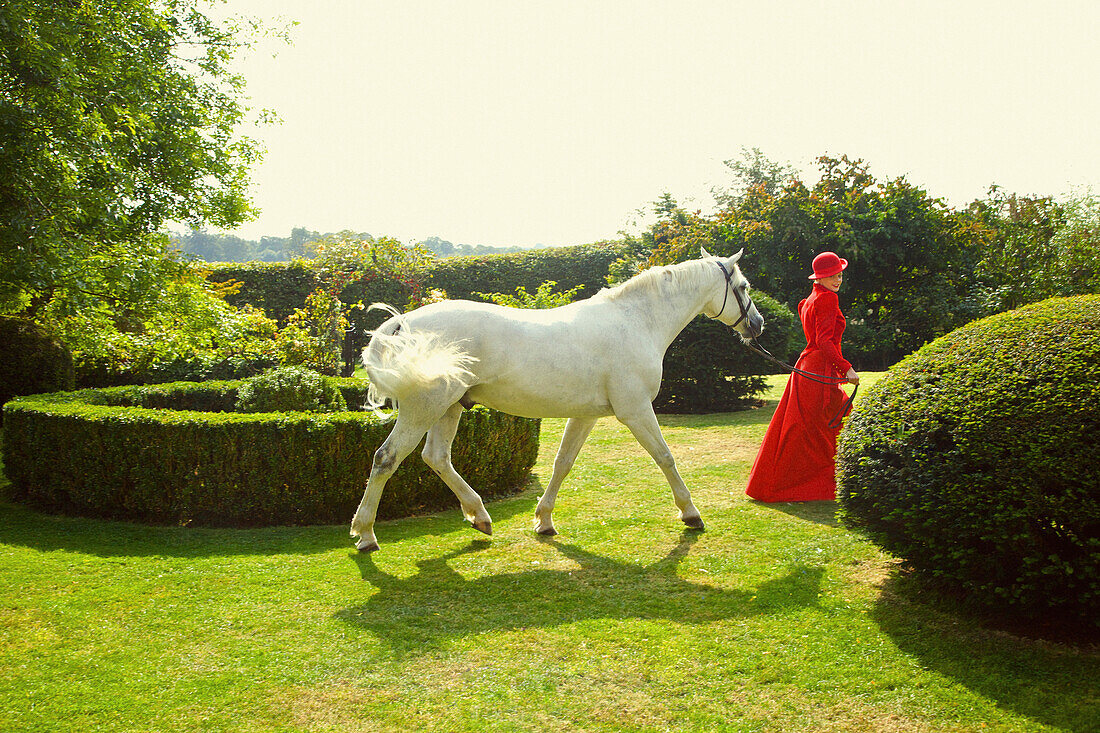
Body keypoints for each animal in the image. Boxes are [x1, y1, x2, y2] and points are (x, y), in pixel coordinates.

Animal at [352, 246, 765, 548]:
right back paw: (366, 534)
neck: (635, 321)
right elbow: (665, 457)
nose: (758, 324)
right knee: (387, 458)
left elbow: (562, 463)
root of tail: (404, 323)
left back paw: (480, 517)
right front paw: (690, 513)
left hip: (449, 407)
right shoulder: (635, 410)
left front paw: (544, 521)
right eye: (744, 287)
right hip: (425, 408)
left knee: (436, 458)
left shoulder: (586, 415)